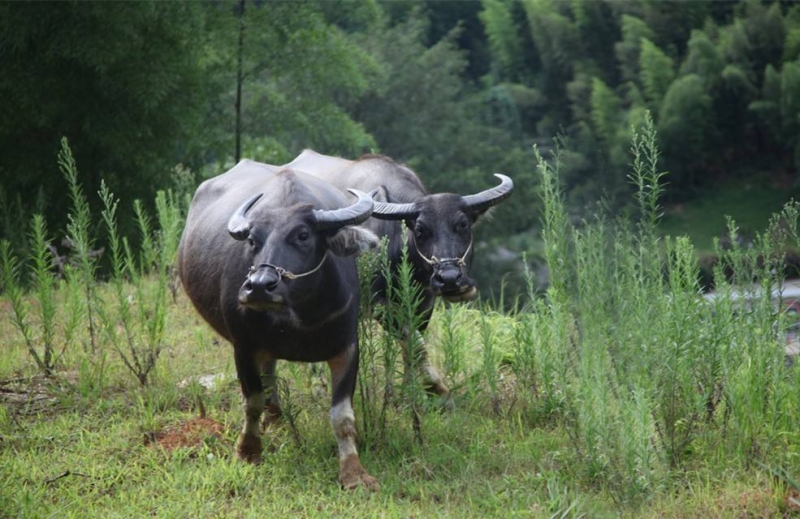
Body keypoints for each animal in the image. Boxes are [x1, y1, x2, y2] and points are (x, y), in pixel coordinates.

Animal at [177, 159, 382, 492]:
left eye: (303, 235)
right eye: (252, 240)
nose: (260, 286)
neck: (300, 317)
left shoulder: (348, 347)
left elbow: (342, 416)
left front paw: (354, 472)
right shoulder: (244, 347)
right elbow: (252, 401)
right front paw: (248, 451)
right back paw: (273, 419)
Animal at [284, 150, 516, 406]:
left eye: (463, 224)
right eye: (421, 229)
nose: (450, 279)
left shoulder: (423, 303)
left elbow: (412, 345)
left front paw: (409, 391)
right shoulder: (379, 304)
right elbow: (414, 342)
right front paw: (437, 388)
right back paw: (318, 388)